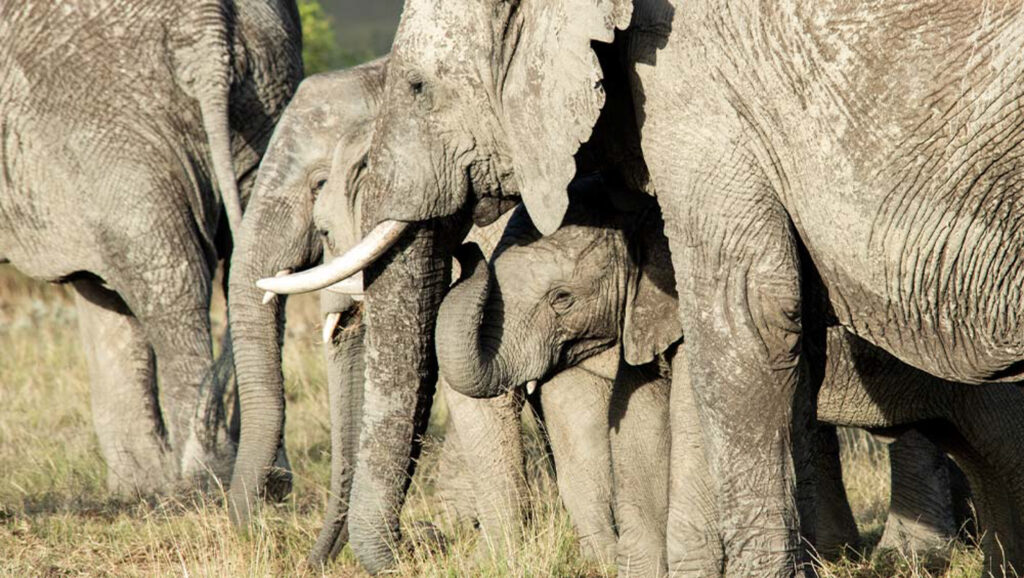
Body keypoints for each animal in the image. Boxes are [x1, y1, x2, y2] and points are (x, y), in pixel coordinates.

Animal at [1, 2, 303, 493]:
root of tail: (208, 28)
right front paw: (139, 490)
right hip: (267, 97)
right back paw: (257, 478)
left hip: (107, 125)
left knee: (169, 282)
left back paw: (206, 482)